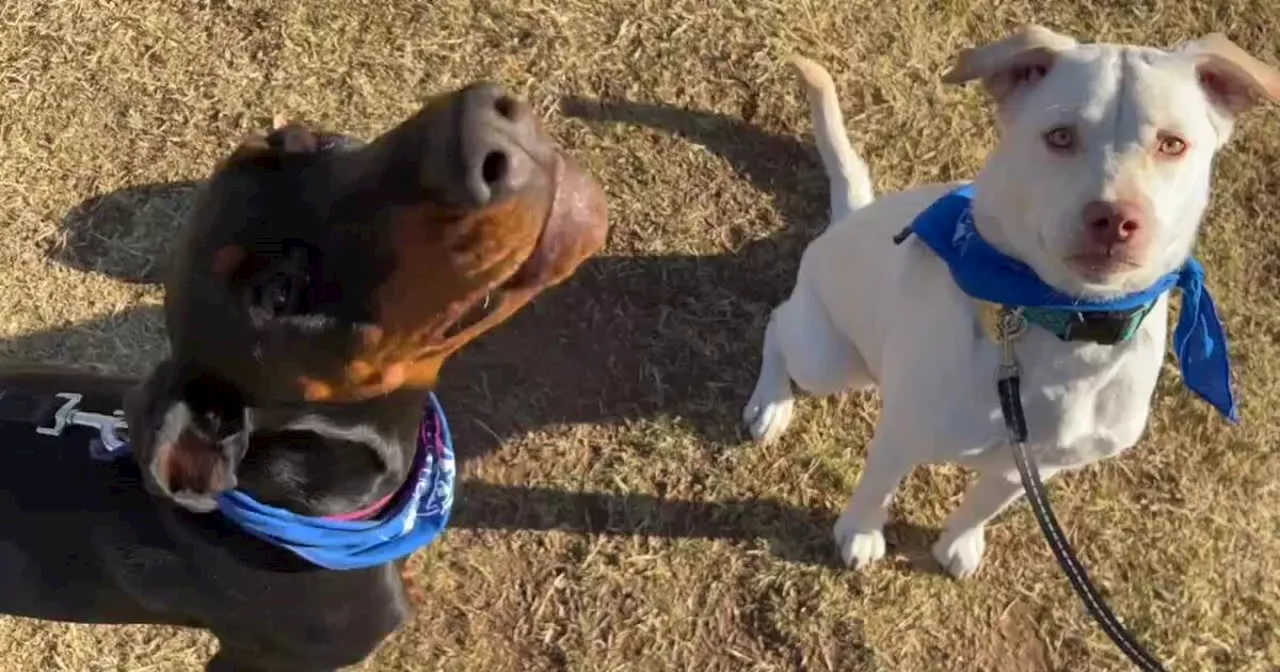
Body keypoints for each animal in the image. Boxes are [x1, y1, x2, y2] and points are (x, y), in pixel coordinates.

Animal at [747, 27, 1274, 576]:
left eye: (1172, 144)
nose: (1115, 219)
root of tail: (851, 216)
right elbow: (878, 488)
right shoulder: (902, 434)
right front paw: (860, 533)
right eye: (1060, 137)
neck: (1062, 322)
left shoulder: (1035, 462)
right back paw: (770, 403)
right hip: (827, 359)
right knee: (778, 326)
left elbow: (985, 504)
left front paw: (958, 543)